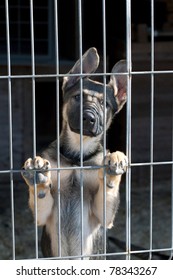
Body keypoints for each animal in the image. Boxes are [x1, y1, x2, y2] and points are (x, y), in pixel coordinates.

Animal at [21, 47, 127, 258]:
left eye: (105, 104)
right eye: (78, 97)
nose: (88, 118)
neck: (77, 156)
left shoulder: (103, 216)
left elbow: (108, 190)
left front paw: (114, 163)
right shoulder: (43, 215)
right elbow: (41, 196)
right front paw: (38, 177)